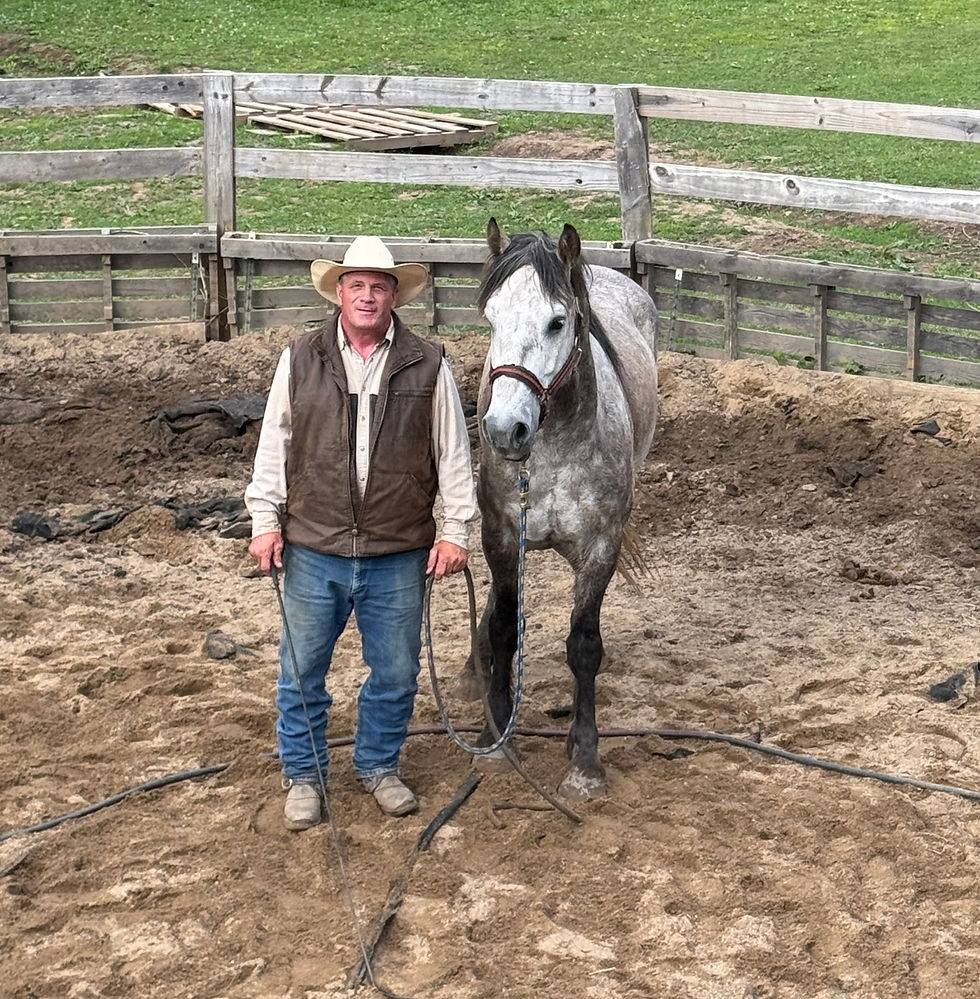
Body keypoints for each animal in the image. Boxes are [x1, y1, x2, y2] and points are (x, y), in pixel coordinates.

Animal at [461, 217, 659, 801]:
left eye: (557, 321)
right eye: (490, 316)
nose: (504, 430)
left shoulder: (600, 550)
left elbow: (584, 646)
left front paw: (585, 758)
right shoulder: (502, 539)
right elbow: (504, 629)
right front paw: (496, 738)